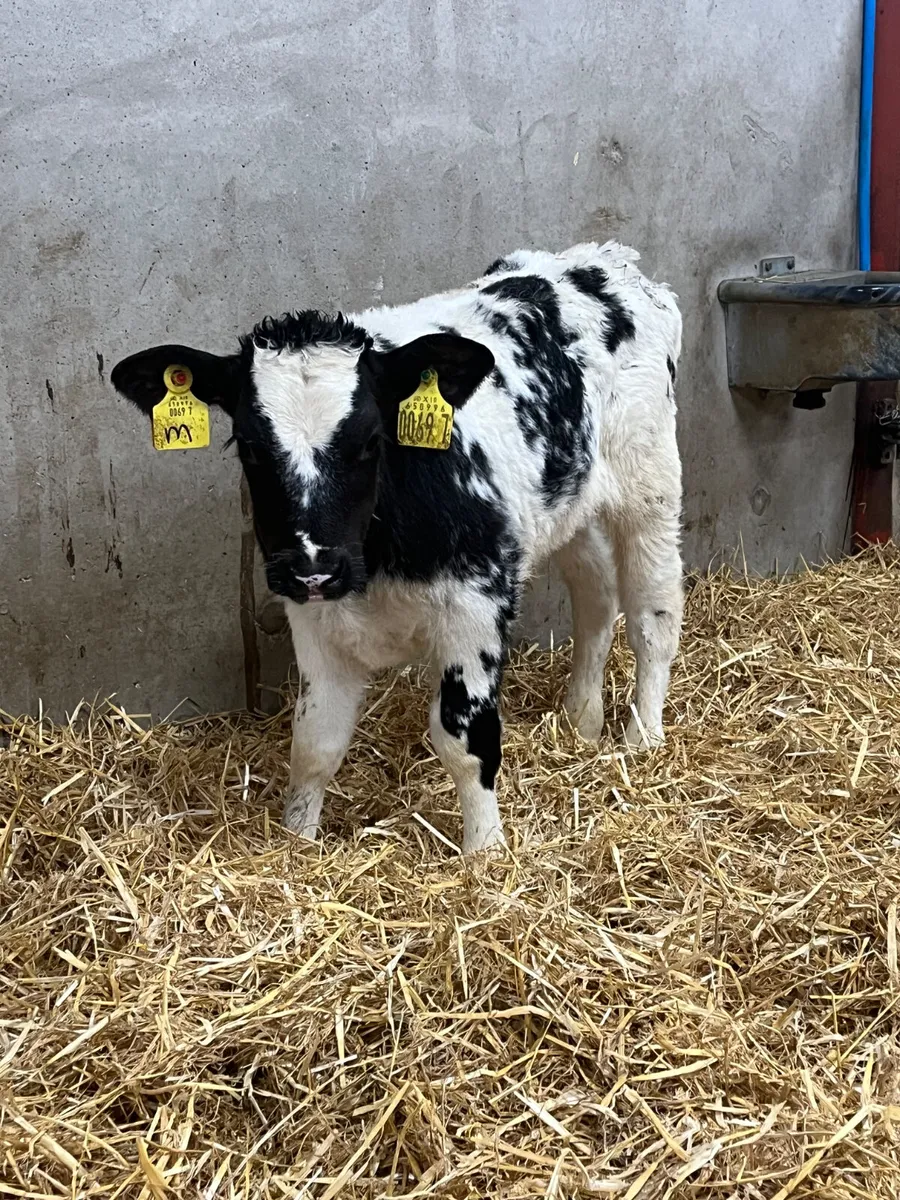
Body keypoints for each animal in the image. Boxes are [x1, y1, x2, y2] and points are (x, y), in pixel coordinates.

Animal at [111, 241, 683, 854]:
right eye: (248, 444)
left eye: (370, 440)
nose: (314, 568)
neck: (375, 563)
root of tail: (607, 260)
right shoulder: (313, 619)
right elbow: (315, 741)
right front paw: (298, 843)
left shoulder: (476, 602)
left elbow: (465, 740)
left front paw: (485, 852)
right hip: (567, 504)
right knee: (595, 594)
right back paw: (582, 720)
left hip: (650, 485)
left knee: (652, 616)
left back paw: (643, 739)